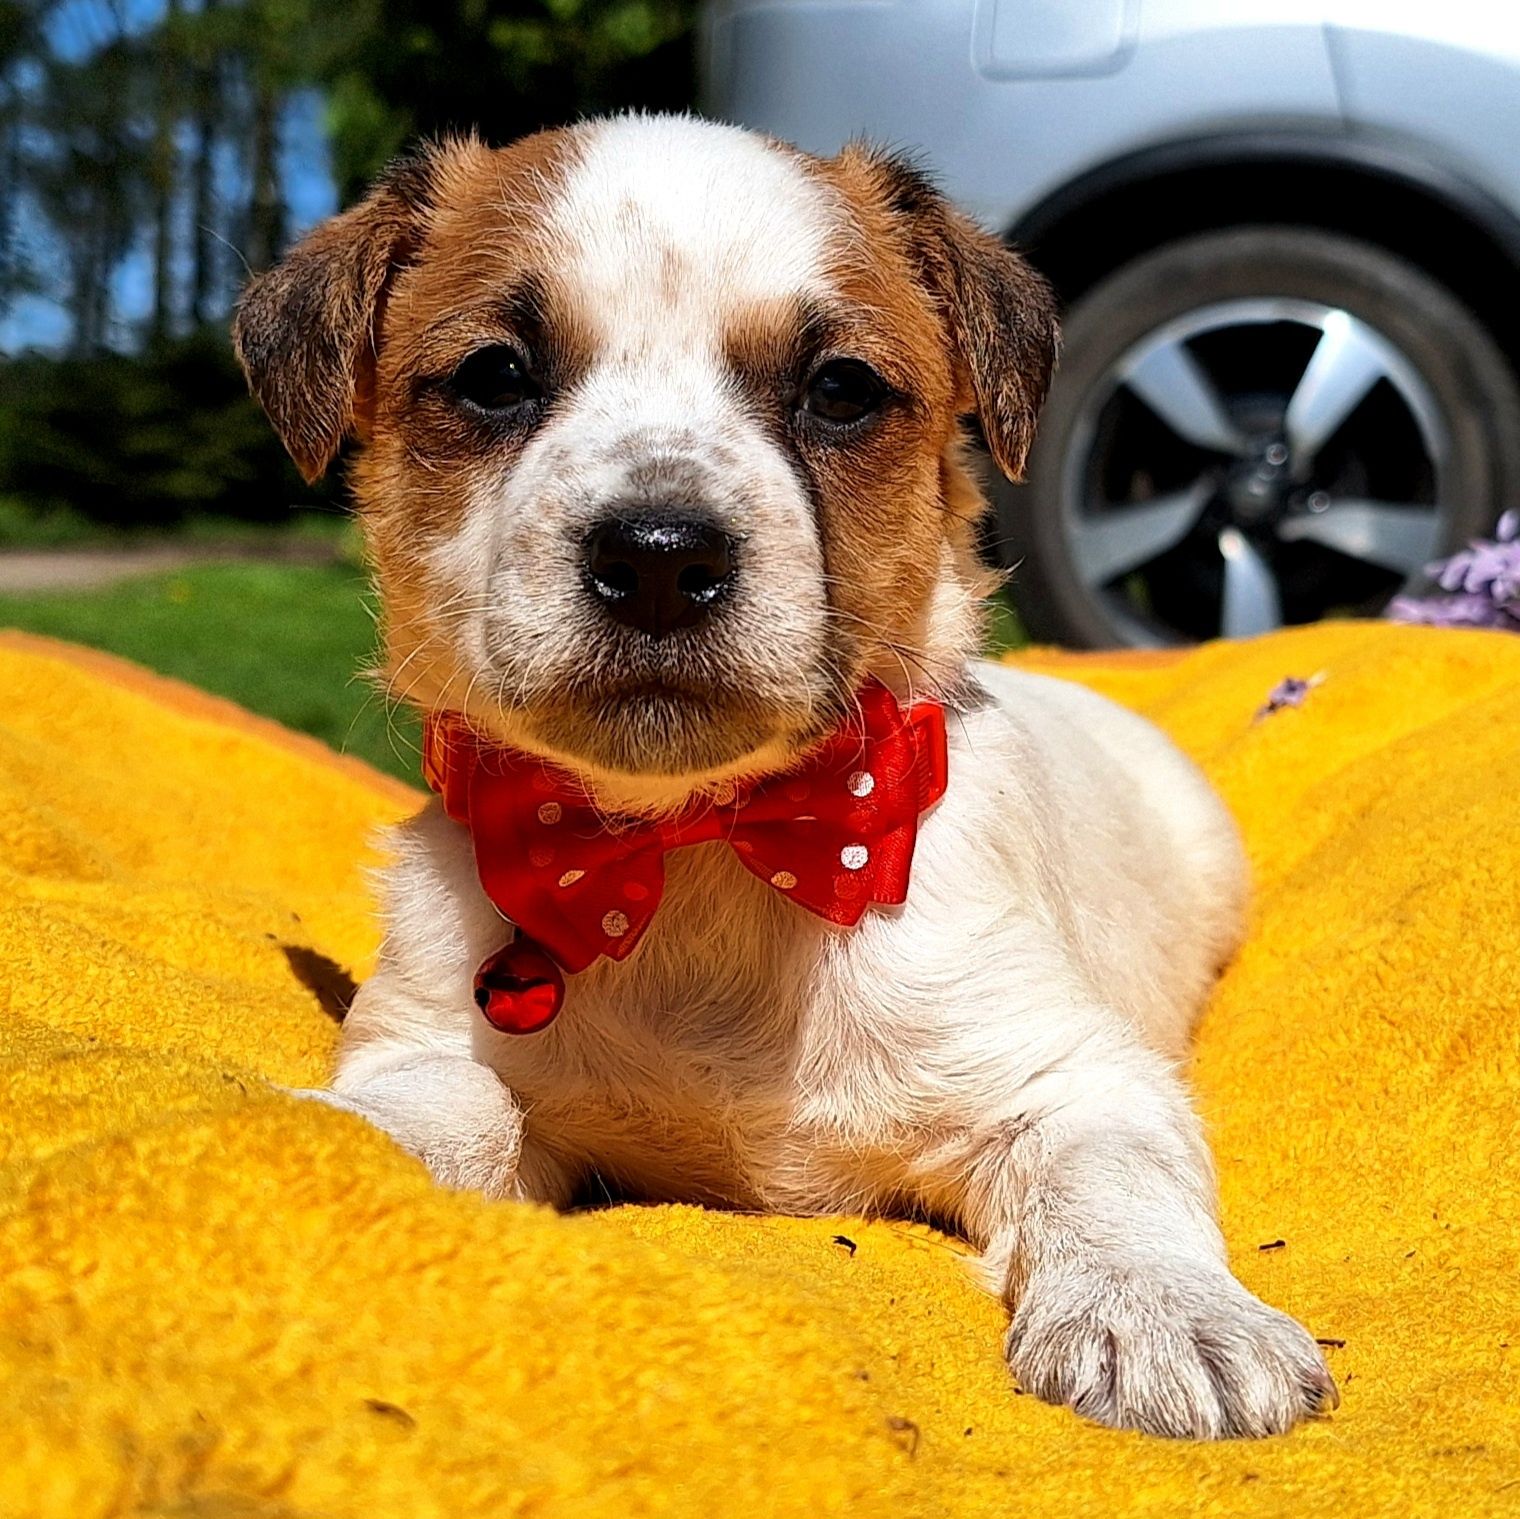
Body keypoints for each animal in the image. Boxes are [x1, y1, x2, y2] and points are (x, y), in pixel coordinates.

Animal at [231, 115, 1337, 1435]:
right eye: (495, 377)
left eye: (840, 390)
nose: (659, 555)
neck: (697, 844)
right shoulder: (432, 1040)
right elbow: (439, 1106)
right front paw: (334, 1144)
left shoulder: (1076, 1074)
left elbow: (1110, 1176)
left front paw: (1160, 1308)